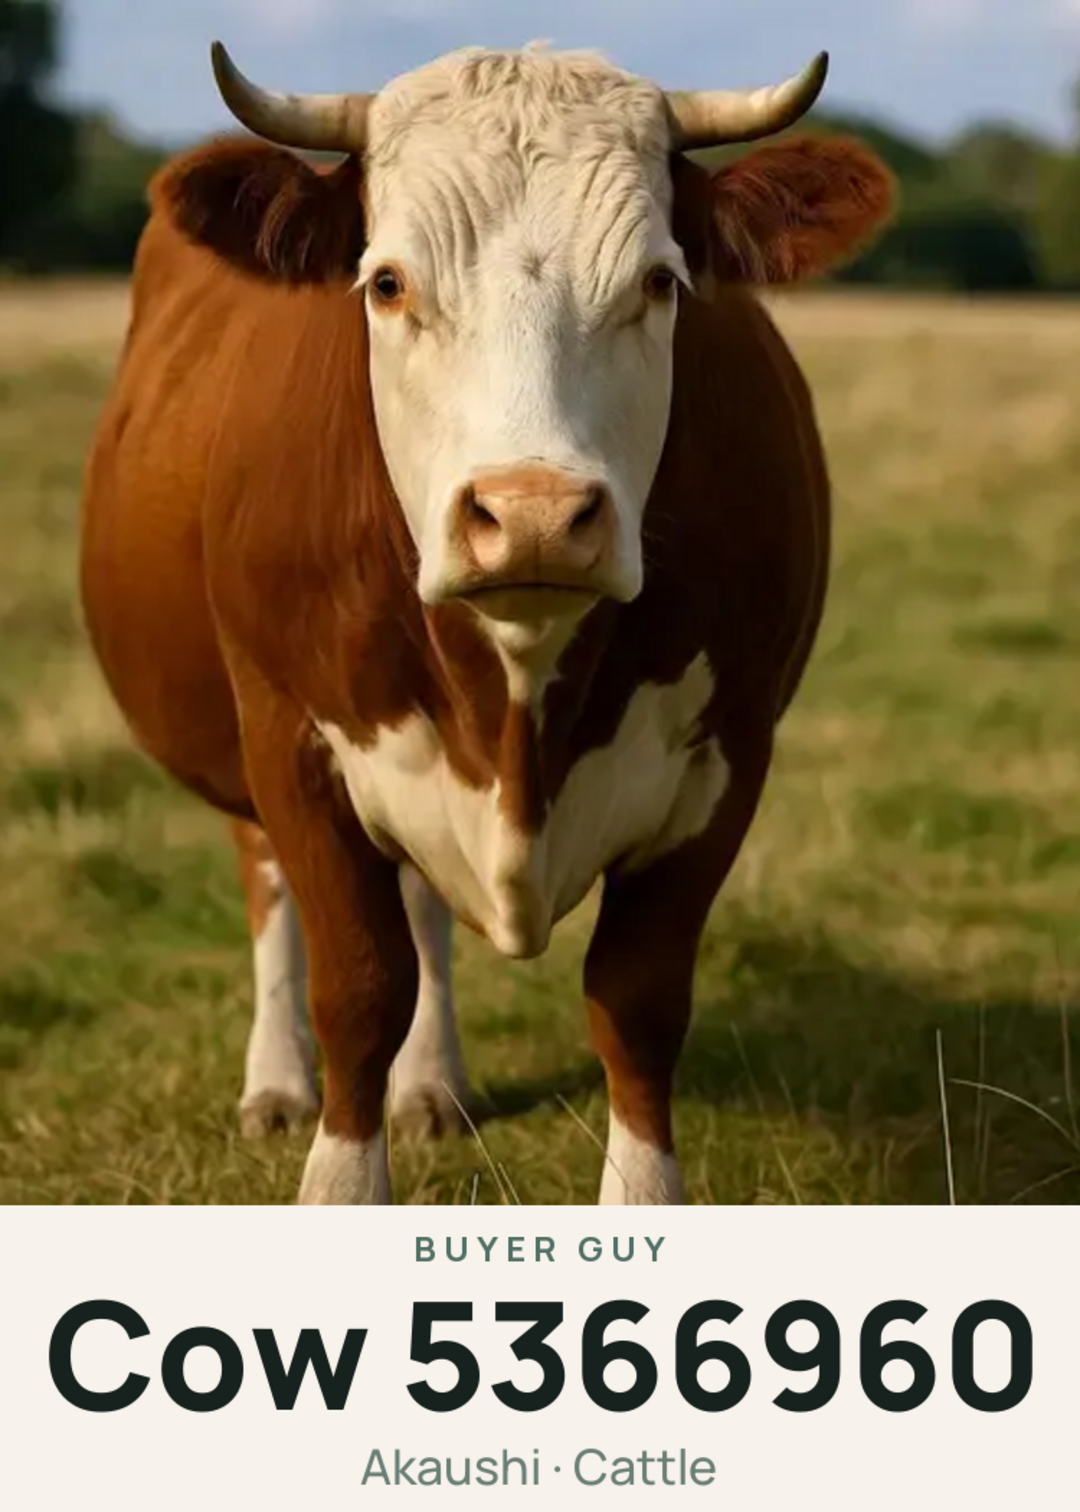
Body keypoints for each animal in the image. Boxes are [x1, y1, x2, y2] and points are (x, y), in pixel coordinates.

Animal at [79, 40, 894, 1204]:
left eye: (659, 281)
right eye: (387, 282)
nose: (534, 516)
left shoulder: (729, 757)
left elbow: (637, 1002)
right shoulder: (289, 737)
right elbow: (358, 989)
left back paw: (431, 1086)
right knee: (269, 884)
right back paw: (275, 1082)